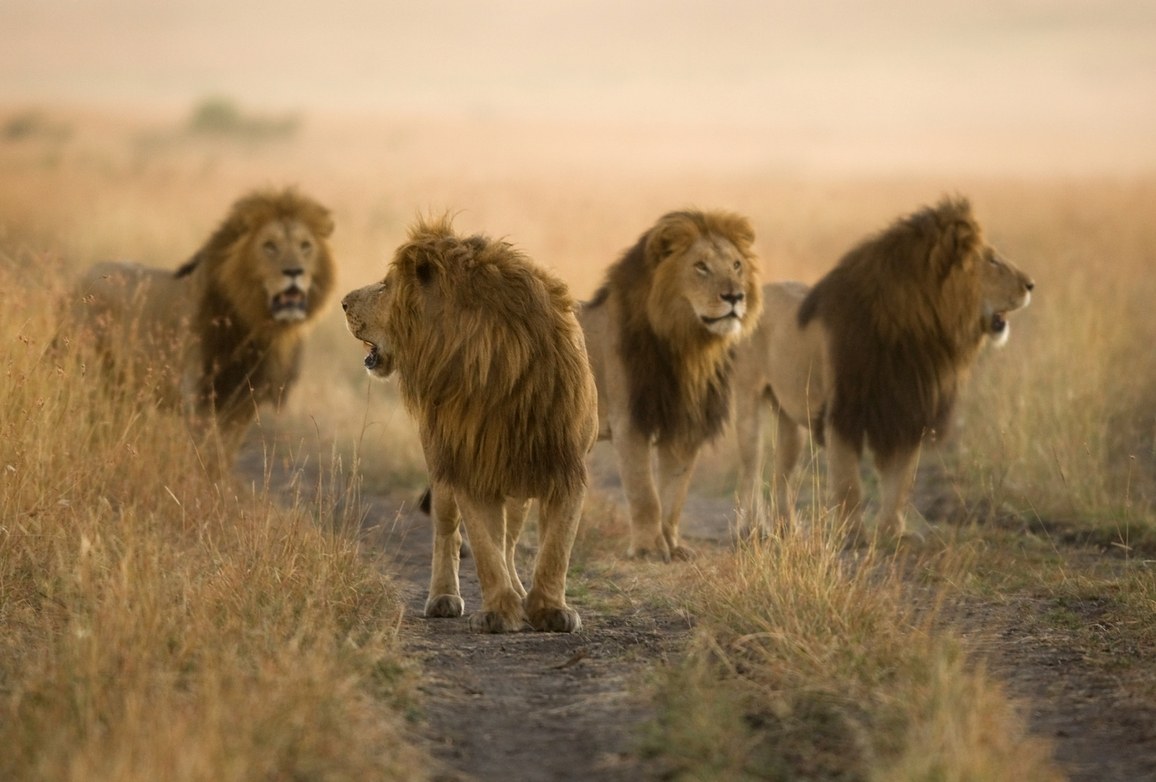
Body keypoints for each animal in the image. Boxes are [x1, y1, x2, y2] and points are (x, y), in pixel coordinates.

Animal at [62, 187, 335, 460]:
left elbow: (224, 456)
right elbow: (205, 454)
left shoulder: (245, 402)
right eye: (269, 246)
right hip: (89, 369)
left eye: (305, 246)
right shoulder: (200, 396)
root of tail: (78, 279)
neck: (258, 325)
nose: (294, 271)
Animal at [339, 216, 596, 633]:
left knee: (510, 540)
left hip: (519, 485)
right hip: (441, 468)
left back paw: (522, 594)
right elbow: (484, 547)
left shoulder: (564, 464)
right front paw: (498, 613)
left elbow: (556, 547)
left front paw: (549, 609)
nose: (343, 302)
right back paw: (444, 597)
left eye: (387, 285)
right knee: (449, 533)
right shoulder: (468, 463)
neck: (493, 368)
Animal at [582, 208, 762, 562]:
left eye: (736, 265)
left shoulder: (684, 424)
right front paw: (648, 549)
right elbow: (645, 494)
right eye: (701, 266)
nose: (735, 296)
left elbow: (674, 494)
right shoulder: (630, 422)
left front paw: (672, 545)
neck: (690, 347)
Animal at [735, 195, 1035, 541]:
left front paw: (894, 532)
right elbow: (848, 482)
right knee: (751, 470)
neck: (919, 332)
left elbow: (900, 481)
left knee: (782, 471)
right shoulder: (844, 412)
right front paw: (852, 533)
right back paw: (752, 526)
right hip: (748, 403)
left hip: (789, 417)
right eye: (992, 261)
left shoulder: (905, 410)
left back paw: (787, 527)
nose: (1031, 284)